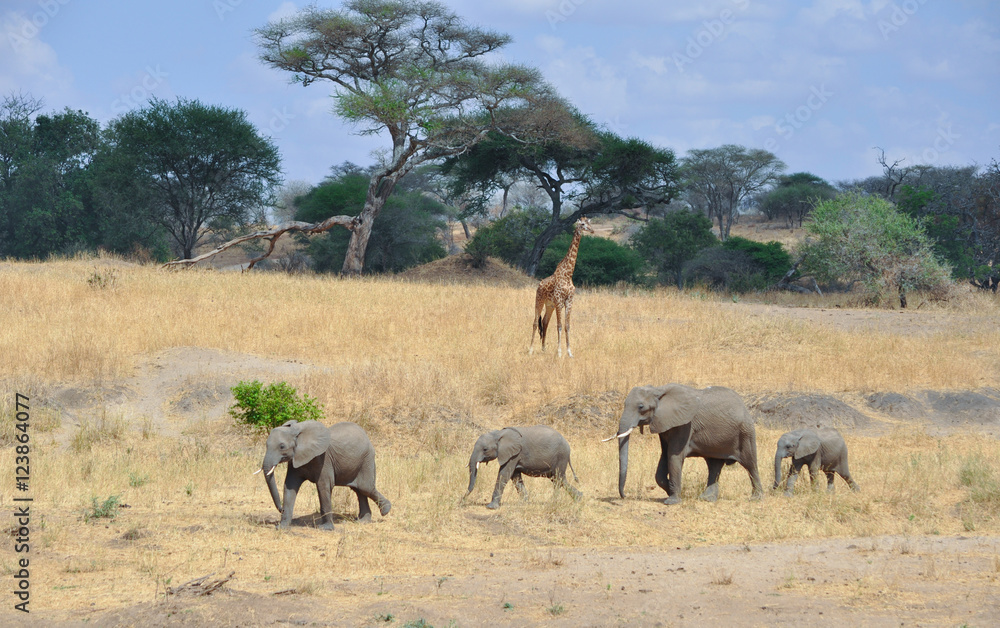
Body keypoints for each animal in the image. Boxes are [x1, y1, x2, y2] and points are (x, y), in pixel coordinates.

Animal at [258, 420, 391, 530]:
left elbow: (323, 486)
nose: (281, 509)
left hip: (367, 459)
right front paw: (282, 527)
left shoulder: (324, 459)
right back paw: (363, 521)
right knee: (359, 490)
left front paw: (325, 528)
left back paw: (385, 510)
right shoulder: (295, 459)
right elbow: (290, 486)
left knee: (365, 487)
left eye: (282, 446)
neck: (298, 430)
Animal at [607, 384, 763, 504]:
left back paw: (756, 498)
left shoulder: (685, 425)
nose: (624, 496)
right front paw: (671, 492)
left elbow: (673, 457)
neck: (659, 390)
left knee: (750, 464)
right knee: (714, 465)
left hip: (746, 432)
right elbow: (664, 457)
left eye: (641, 406)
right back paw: (707, 499)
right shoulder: (664, 424)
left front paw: (672, 501)